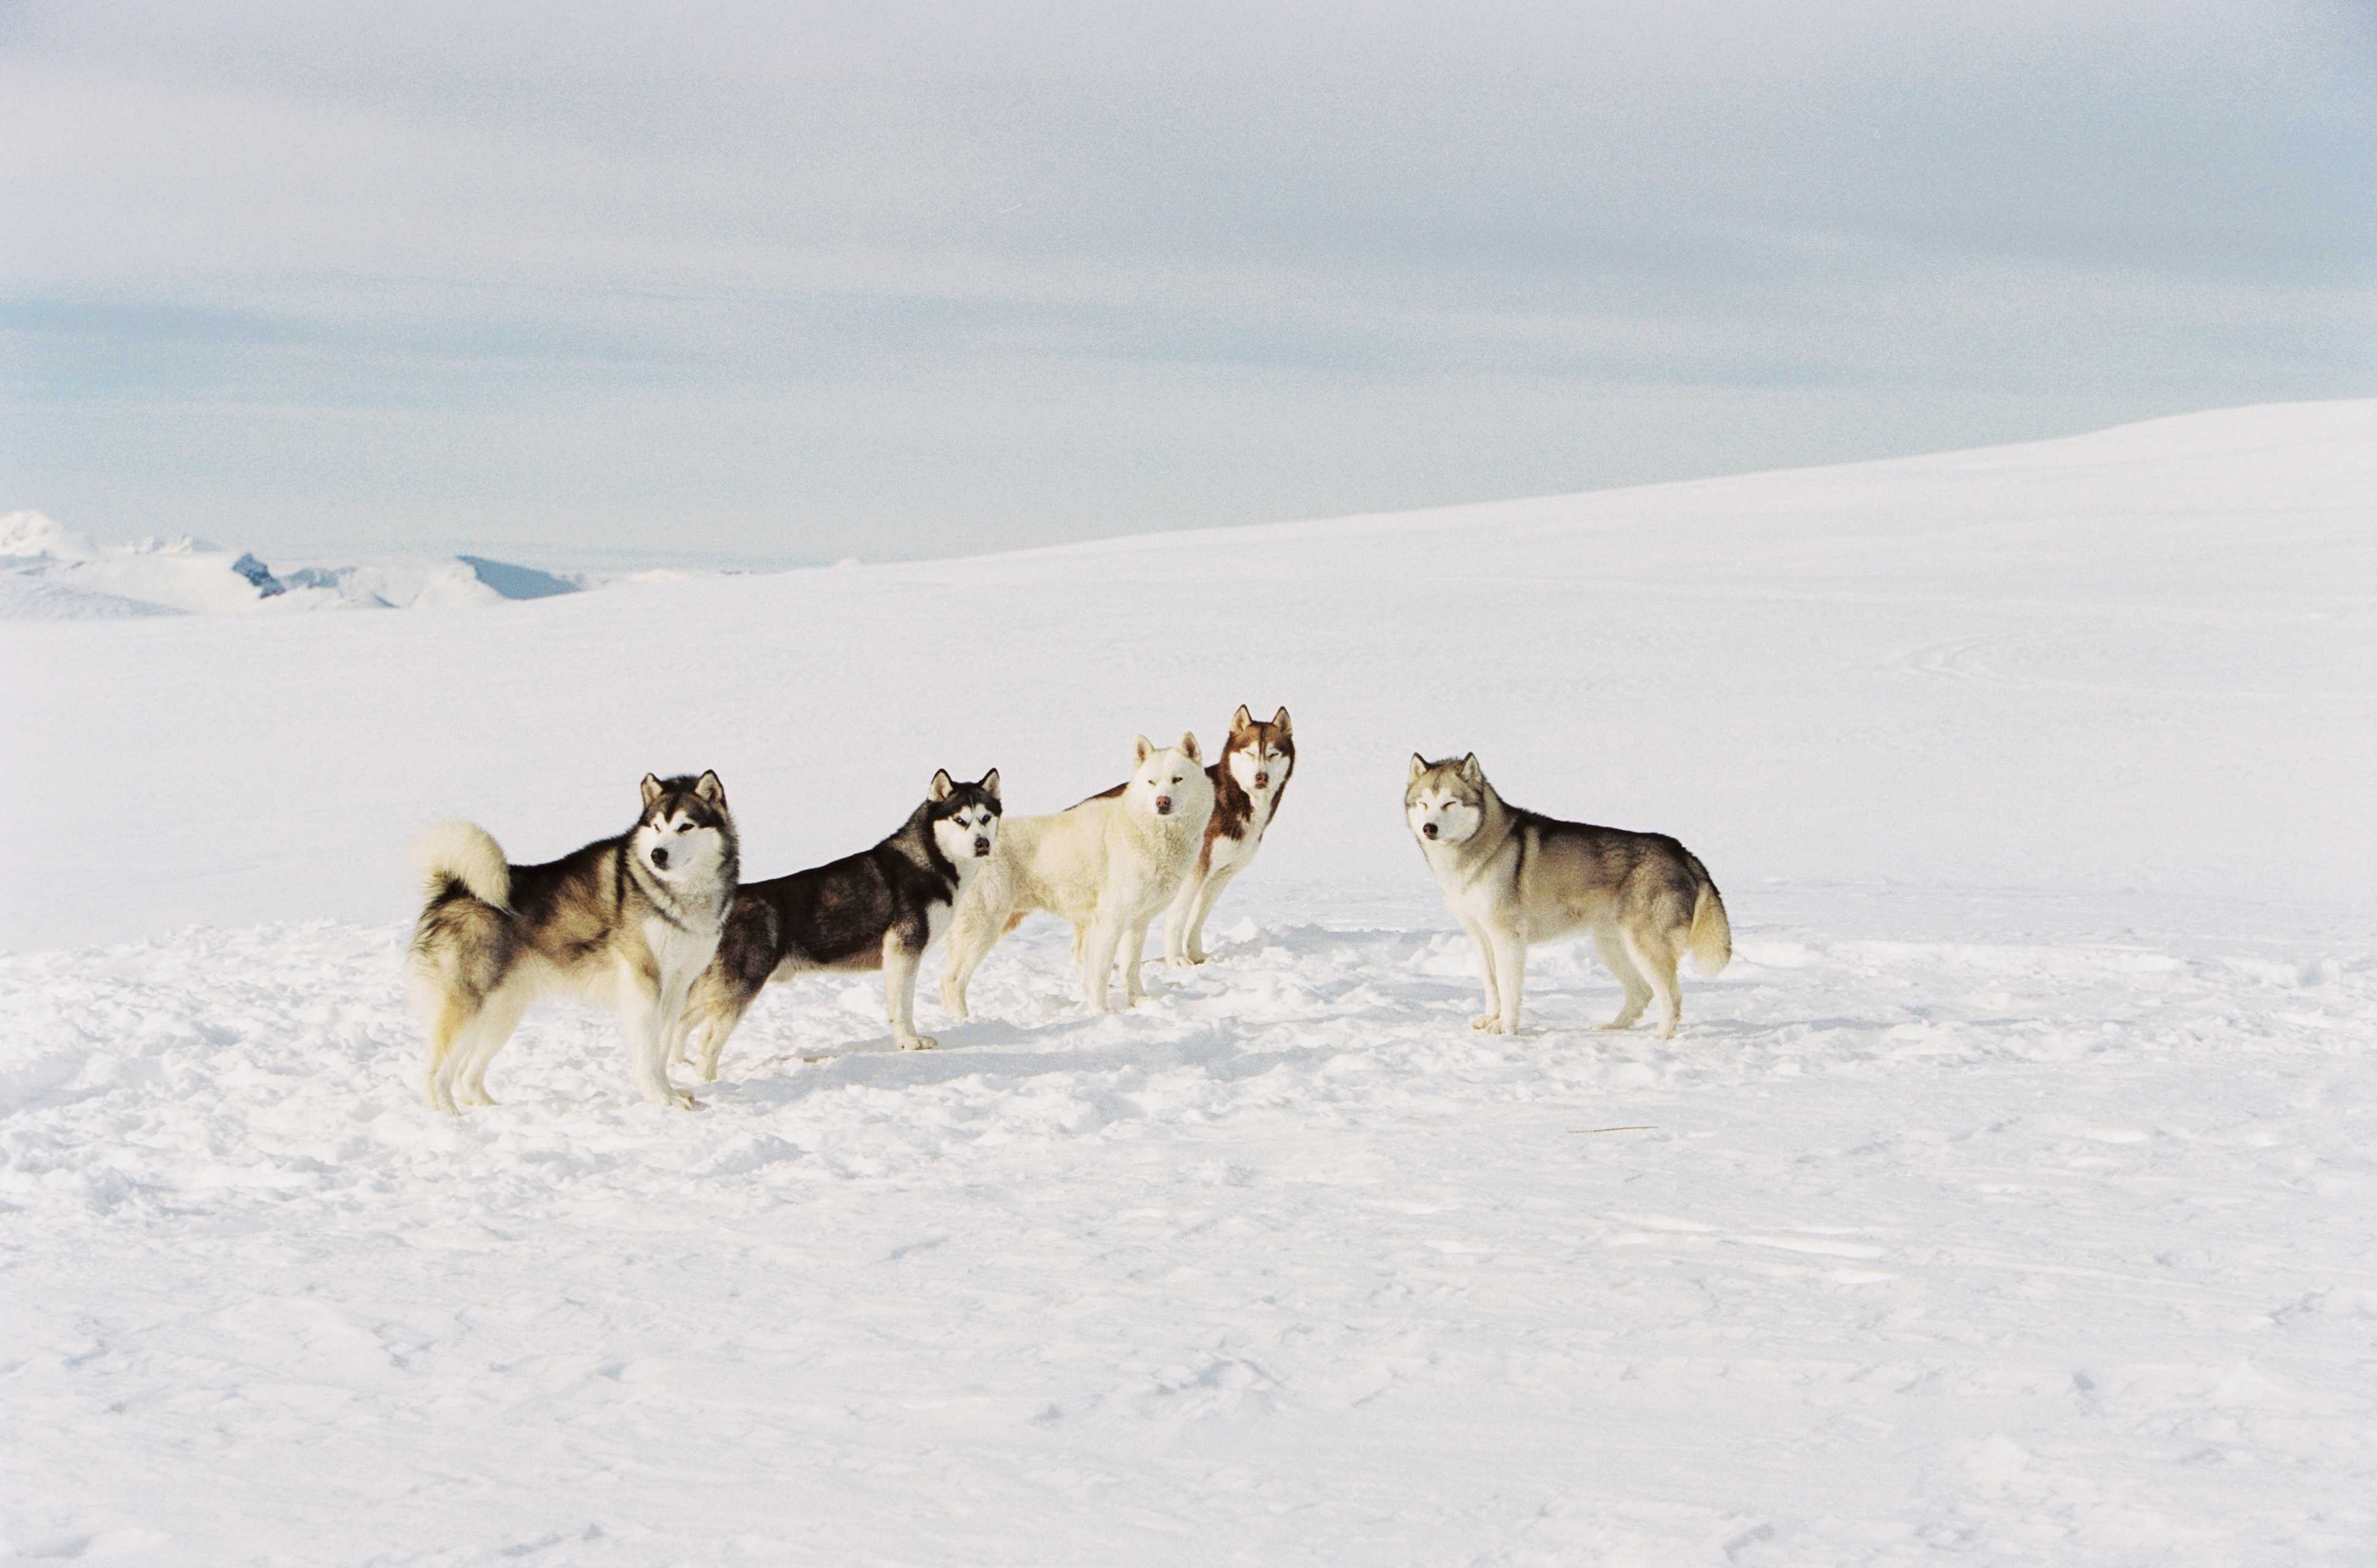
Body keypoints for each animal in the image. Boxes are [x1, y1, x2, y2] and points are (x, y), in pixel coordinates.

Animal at [406, 769, 732, 1117]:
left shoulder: (676, 988)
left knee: (467, 1075)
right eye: (657, 827)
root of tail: (452, 891)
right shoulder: (643, 985)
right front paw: (660, 1098)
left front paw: (671, 1094)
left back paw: (491, 1110)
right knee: (435, 1075)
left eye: (686, 826)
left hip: (503, 1013)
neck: (677, 893)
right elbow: (648, 1053)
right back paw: (449, 1117)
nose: (658, 854)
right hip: (466, 1009)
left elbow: (663, 1049)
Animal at [670, 769, 1003, 1078]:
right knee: (706, 1041)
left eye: (986, 818)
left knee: (679, 1023)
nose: (982, 844)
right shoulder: (903, 951)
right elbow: (901, 1007)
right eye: (960, 820)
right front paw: (910, 1042)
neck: (931, 860)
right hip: (740, 986)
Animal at [941, 736, 1217, 1017]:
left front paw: (1139, 1002)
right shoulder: (1109, 922)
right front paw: (1102, 1013)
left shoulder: (1137, 923)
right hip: (983, 926)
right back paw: (963, 1020)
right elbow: (1100, 973)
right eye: (1151, 782)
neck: (1146, 830)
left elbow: (1131, 968)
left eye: (1177, 779)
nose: (1162, 801)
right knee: (952, 981)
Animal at [1160, 703, 1293, 969]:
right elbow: (1178, 918)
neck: (1231, 801)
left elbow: (1197, 919)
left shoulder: (1221, 875)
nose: (1261, 776)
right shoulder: (1194, 873)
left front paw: (1196, 955)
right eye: (1250, 753)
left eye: (1273, 754)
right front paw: (1176, 959)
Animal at [1397, 750, 1740, 1036]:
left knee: (1672, 997)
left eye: (1449, 803)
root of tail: (1682, 851)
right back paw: (1612, 1028)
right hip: (1612, 945)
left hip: (1646, 946)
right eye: (1424, 804)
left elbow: (1508, 989)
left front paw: (1505, 1026)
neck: (1483, 846)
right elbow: (1492, 986)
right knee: (1642, 992)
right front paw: (1492, 1018)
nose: (1429, 828)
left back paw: (1660, 1039)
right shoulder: (1480, 935)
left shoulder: (1508, 937)